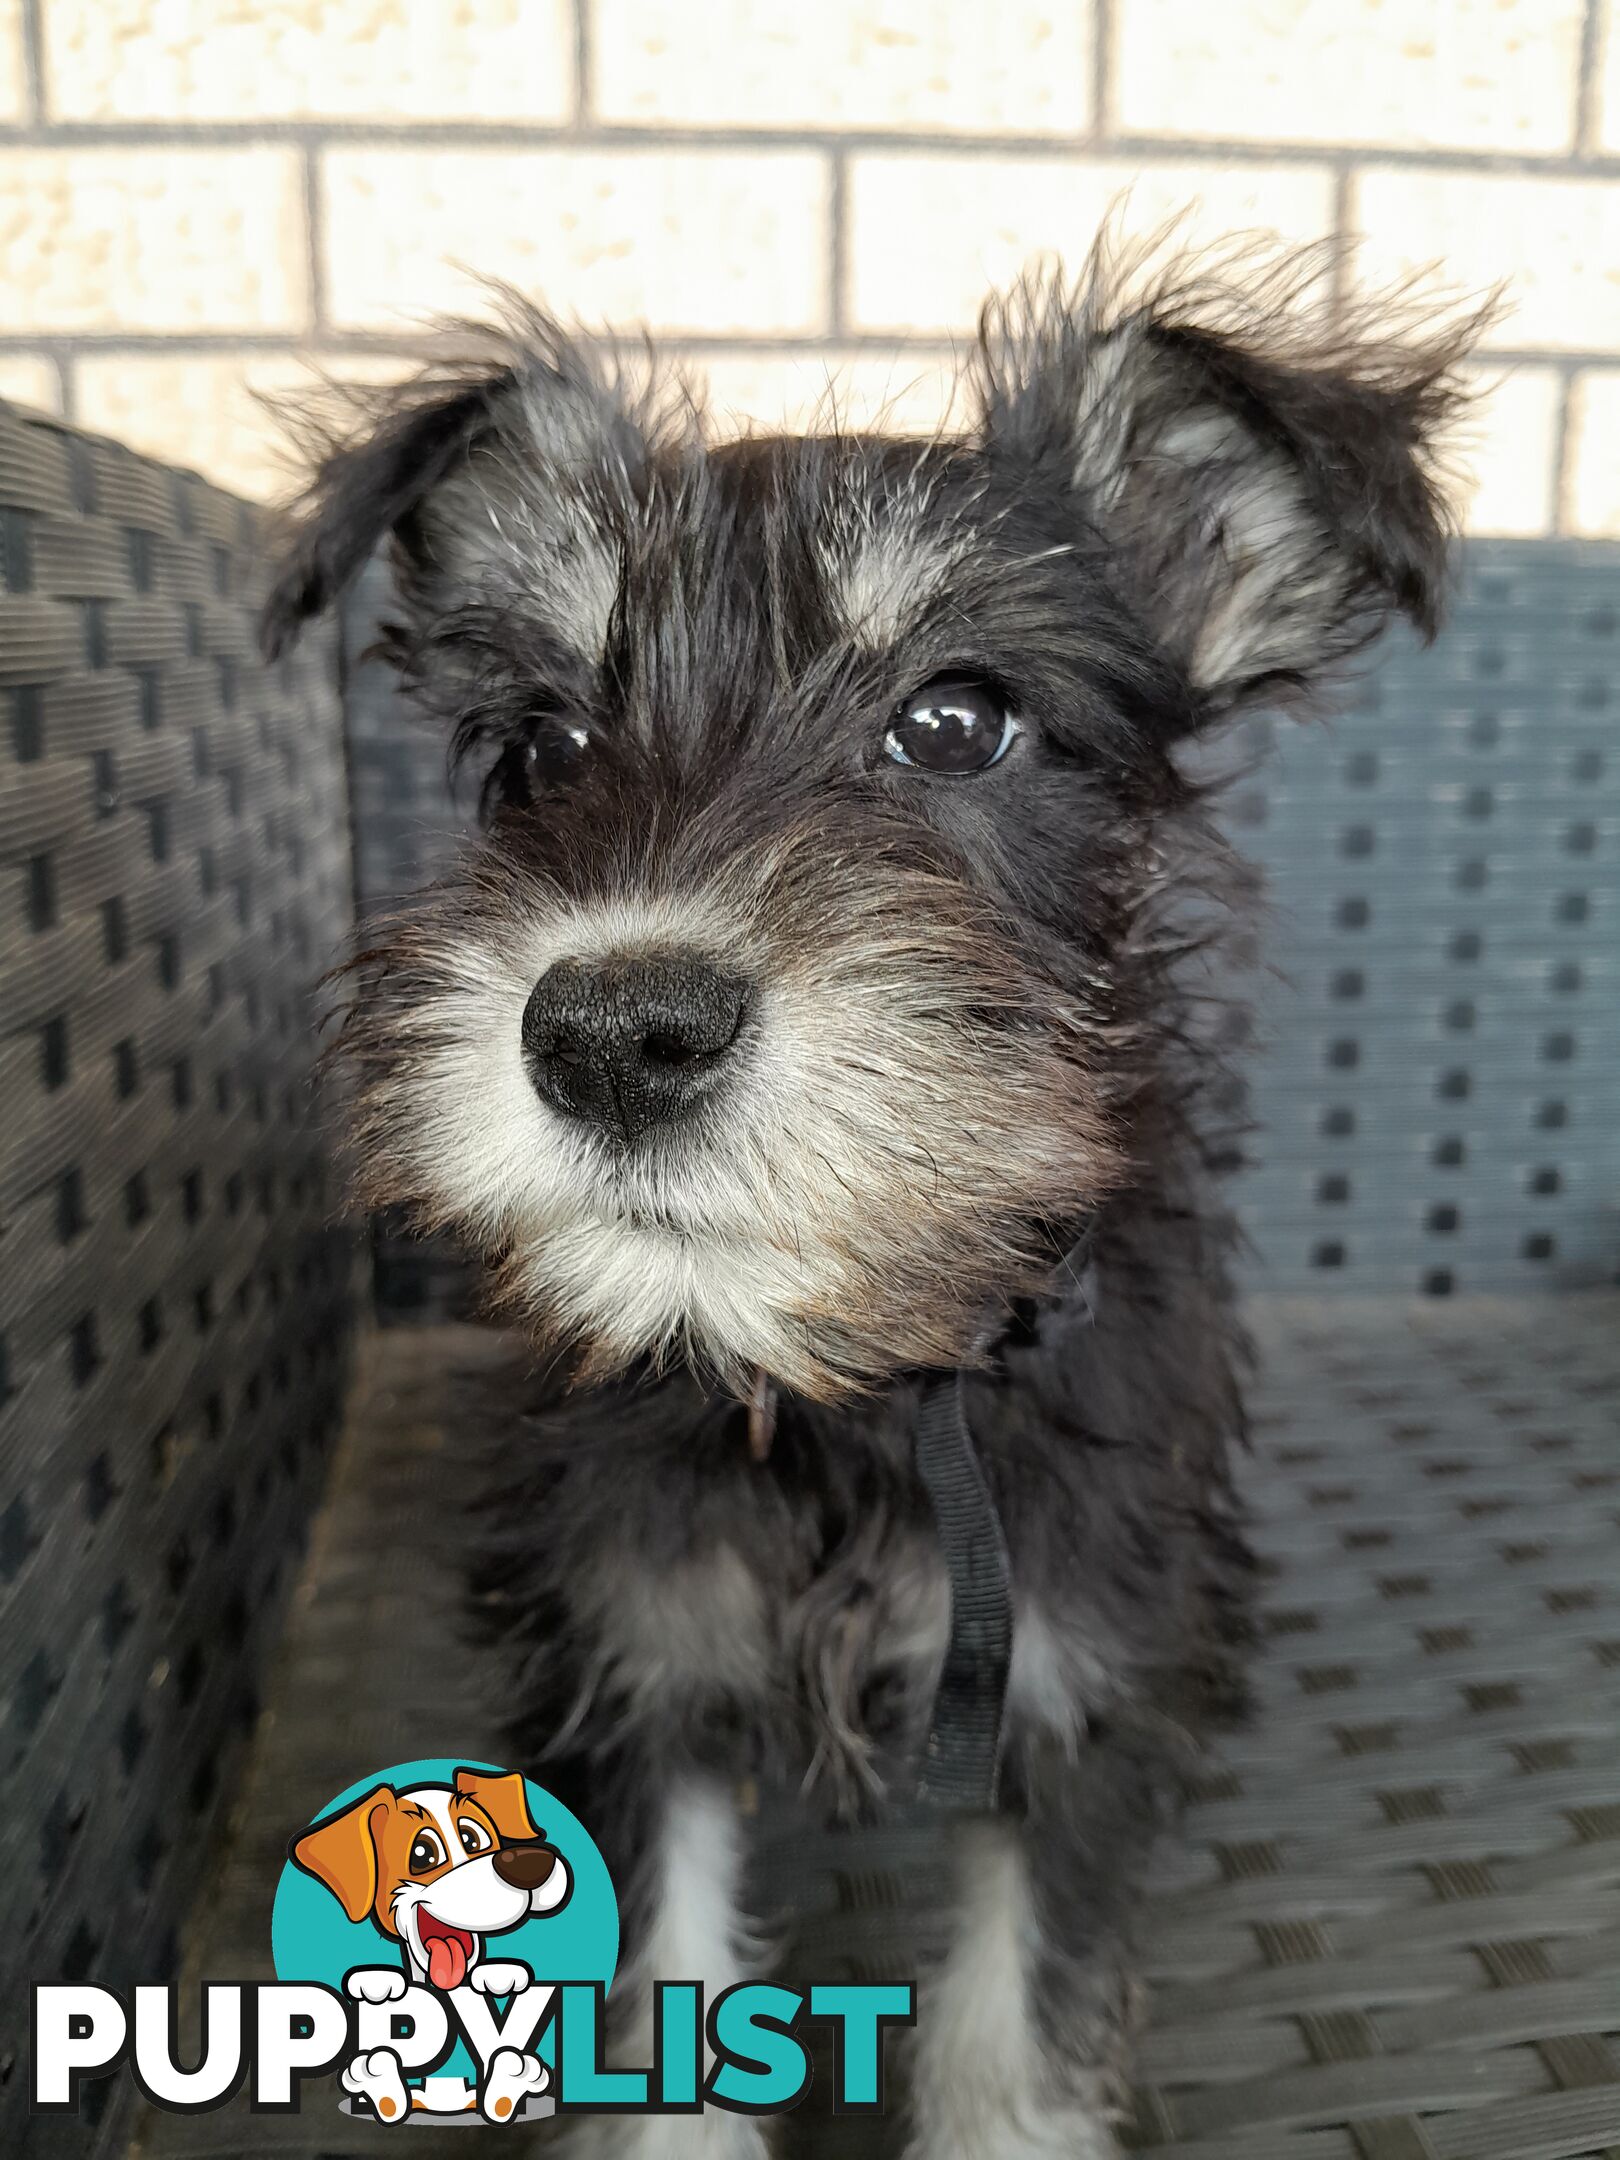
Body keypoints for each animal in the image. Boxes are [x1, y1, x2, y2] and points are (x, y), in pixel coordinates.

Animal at [266, 240, 1486, 2160]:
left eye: (960, 719)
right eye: (542, 745)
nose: (612, 1035)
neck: (841, 1386)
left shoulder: (1070, 1691)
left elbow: (1017, 2040)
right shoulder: (636, 1681)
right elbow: (655, 2015)